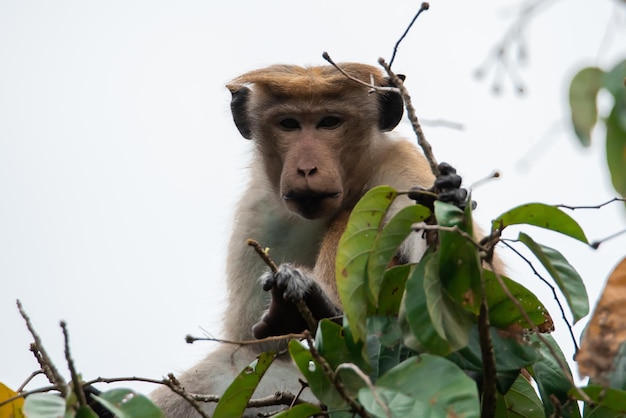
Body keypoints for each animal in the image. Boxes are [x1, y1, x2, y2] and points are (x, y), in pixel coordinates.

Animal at [150, 62, 468, 418]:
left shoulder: (403, 167)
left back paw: (321, 308)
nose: (306, 169)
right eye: (289, 124)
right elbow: (251, 347)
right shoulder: (260, 212)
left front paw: (445, 208)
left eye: (329, 122)